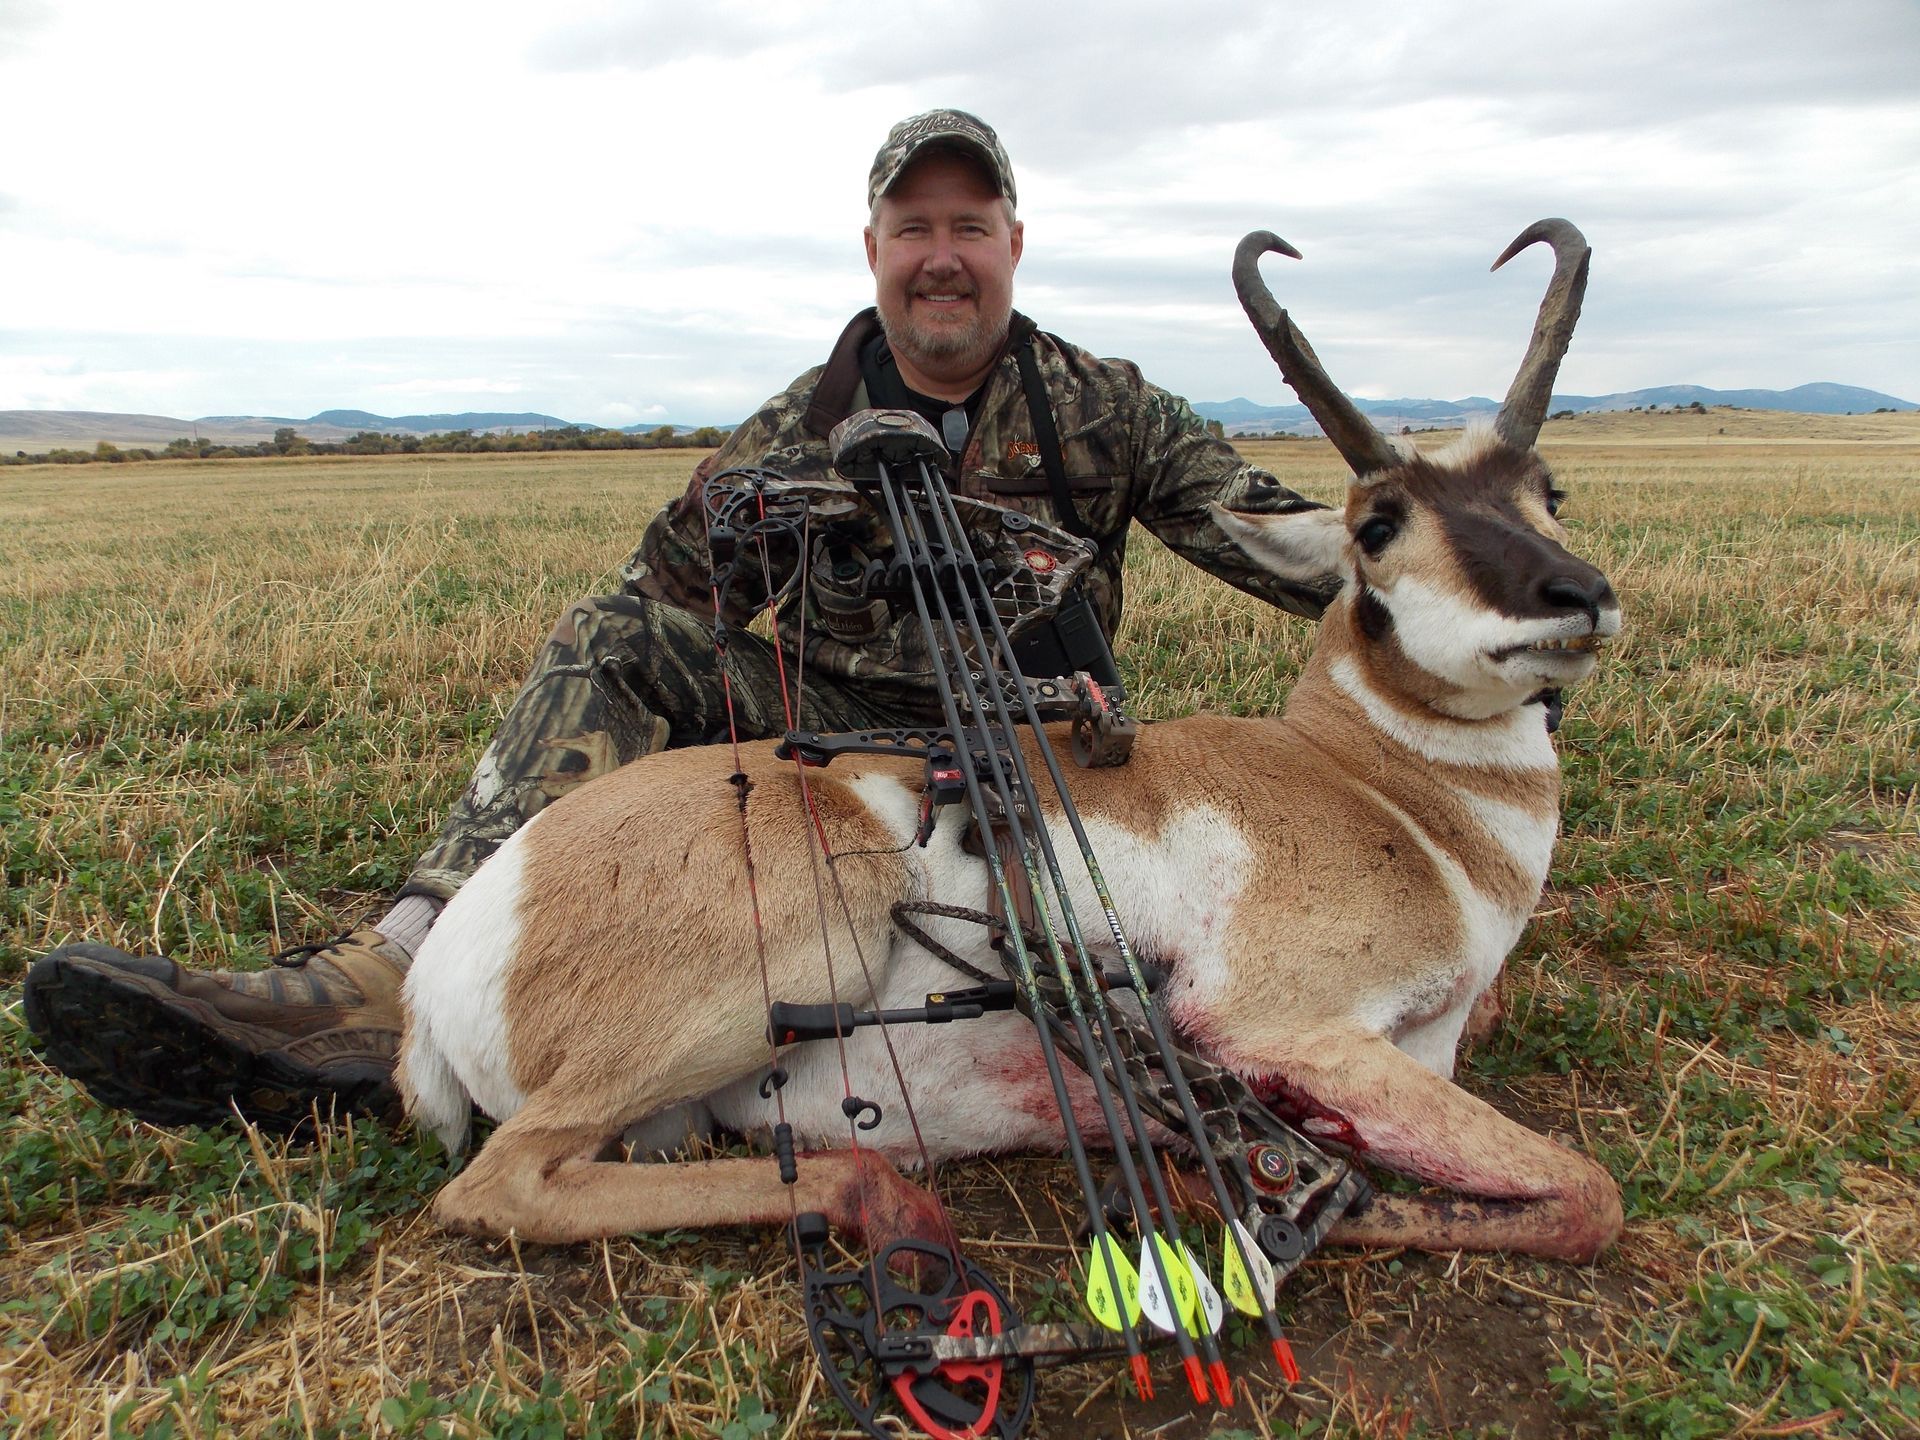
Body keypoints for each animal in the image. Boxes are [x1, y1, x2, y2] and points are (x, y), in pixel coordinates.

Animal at [399, 219, 1625, 1266]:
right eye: (1377, 523)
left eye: (1550, 490)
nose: (1581, 598)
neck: (1386, 798)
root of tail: (461, 943)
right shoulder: (1293, 1030)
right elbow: (1585, 1195)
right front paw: (1236, 1188)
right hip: (806, 963)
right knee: (500, 1181)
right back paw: (890, 1205)